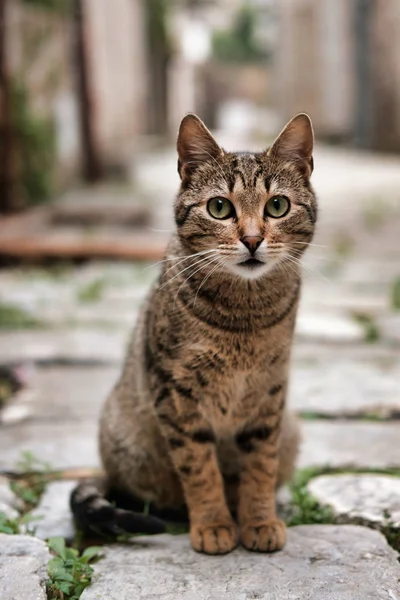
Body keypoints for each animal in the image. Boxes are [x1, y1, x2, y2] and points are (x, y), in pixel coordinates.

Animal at [71, 111, 316, 552]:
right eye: (219, 207)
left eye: (277, 206)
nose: (252, 239)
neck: (245, 315)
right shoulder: (176, 394)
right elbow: (199, 468)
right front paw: (213, 524)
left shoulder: (269, 393)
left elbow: (260, 466)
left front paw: (258, 519)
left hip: (291, 428)